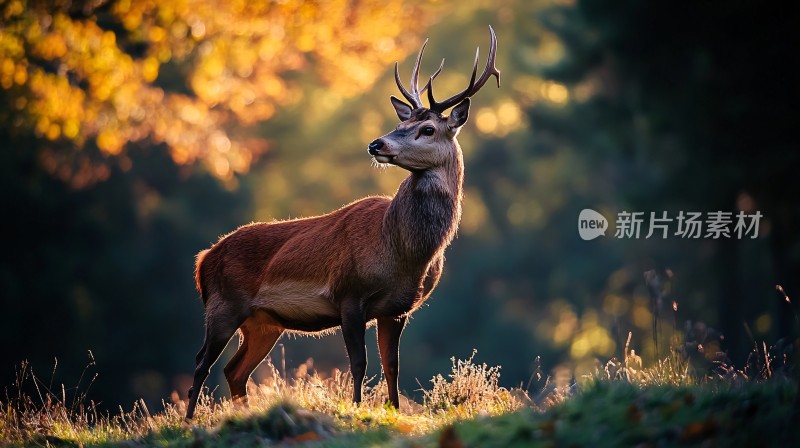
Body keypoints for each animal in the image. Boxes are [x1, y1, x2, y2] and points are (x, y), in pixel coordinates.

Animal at [187, 27, 500, 420]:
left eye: (427, 128)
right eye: (400, 123)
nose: (376, 144)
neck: (403, 253)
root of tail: (203, 261)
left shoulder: (397, 308)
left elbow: (392, 365)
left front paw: (393, 410)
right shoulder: (349, 294)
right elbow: (359, 363)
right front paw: (356, 409)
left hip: (262, 322)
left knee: (234, 370)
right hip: (223, 304)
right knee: (201, 363)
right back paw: (188, 419)